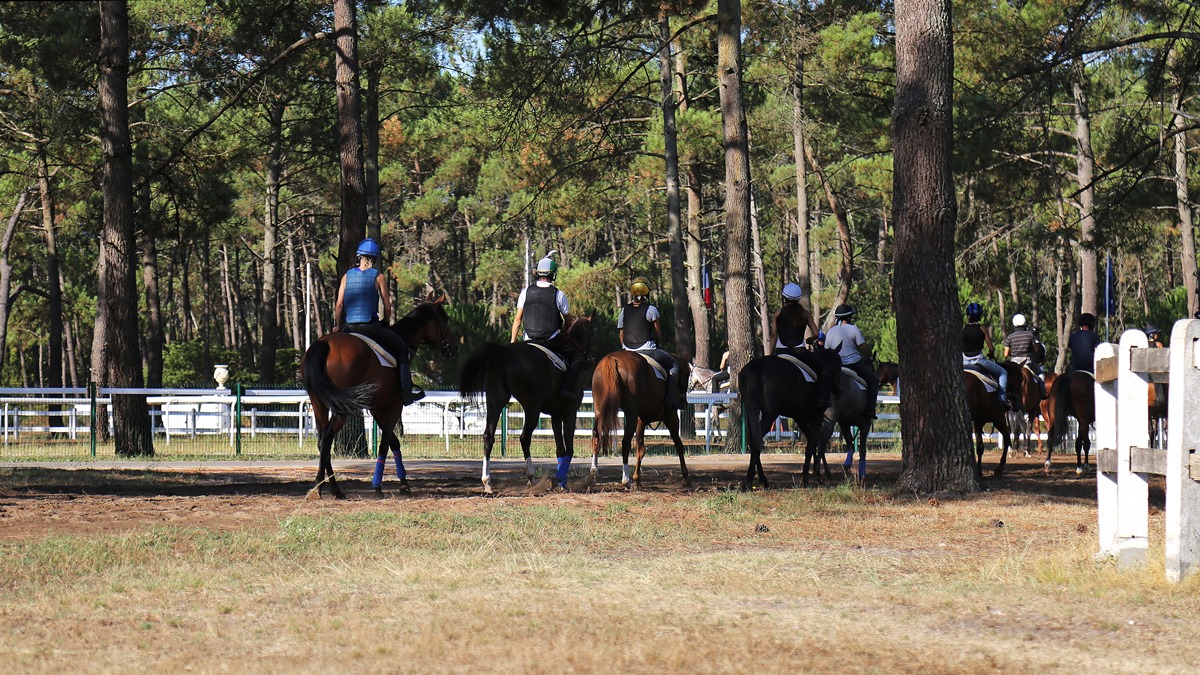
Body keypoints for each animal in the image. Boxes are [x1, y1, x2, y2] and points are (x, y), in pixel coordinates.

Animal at [302, 296, 456, 497]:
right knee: (327, 439)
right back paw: (321, 487)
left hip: (319, 403)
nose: (453, 348)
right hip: (341, 408)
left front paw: (403, 483)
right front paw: (378, 486)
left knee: (322, 441)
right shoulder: (394, 406)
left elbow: (394, 443)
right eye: (444, 319)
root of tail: (324, 344)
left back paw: (332, 488)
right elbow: (385, 444)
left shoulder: (377, 408)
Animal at [456, 312, 592, 492]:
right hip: (532, 407)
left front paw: (561, 482)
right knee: (524, 437)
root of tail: (504, 353)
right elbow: (568, 448)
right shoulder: (570, 413)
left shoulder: (556, 415)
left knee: (488, 436)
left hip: (495, 401)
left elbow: (560, 449)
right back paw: (531, 477)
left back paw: (487, 482)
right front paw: (558, 481)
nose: (590, 361)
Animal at [590, 348, 696, 485]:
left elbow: (640, 449)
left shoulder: (641, 421)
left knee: (596, 434)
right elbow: (679, 445)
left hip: (600, 410)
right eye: (688, 375)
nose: (684, 402)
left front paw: (637, 479)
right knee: (625, 442)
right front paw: (685, 476)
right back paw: (625, 479)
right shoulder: (671, 417)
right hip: (631, 414)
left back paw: (594, 468)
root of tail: (613, 359)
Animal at [734, 345, 840, 487]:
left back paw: (761, 480)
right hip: (769, 415)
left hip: (752, 413)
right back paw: (750, 481)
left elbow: (813, 443)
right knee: (756, 442)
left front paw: (817, 476)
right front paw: (807, 479)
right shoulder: (816, 416)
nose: (839, 391)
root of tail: (757, 367)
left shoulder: (801, 417)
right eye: (839, 364)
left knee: (754, 441)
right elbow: (812, 445)